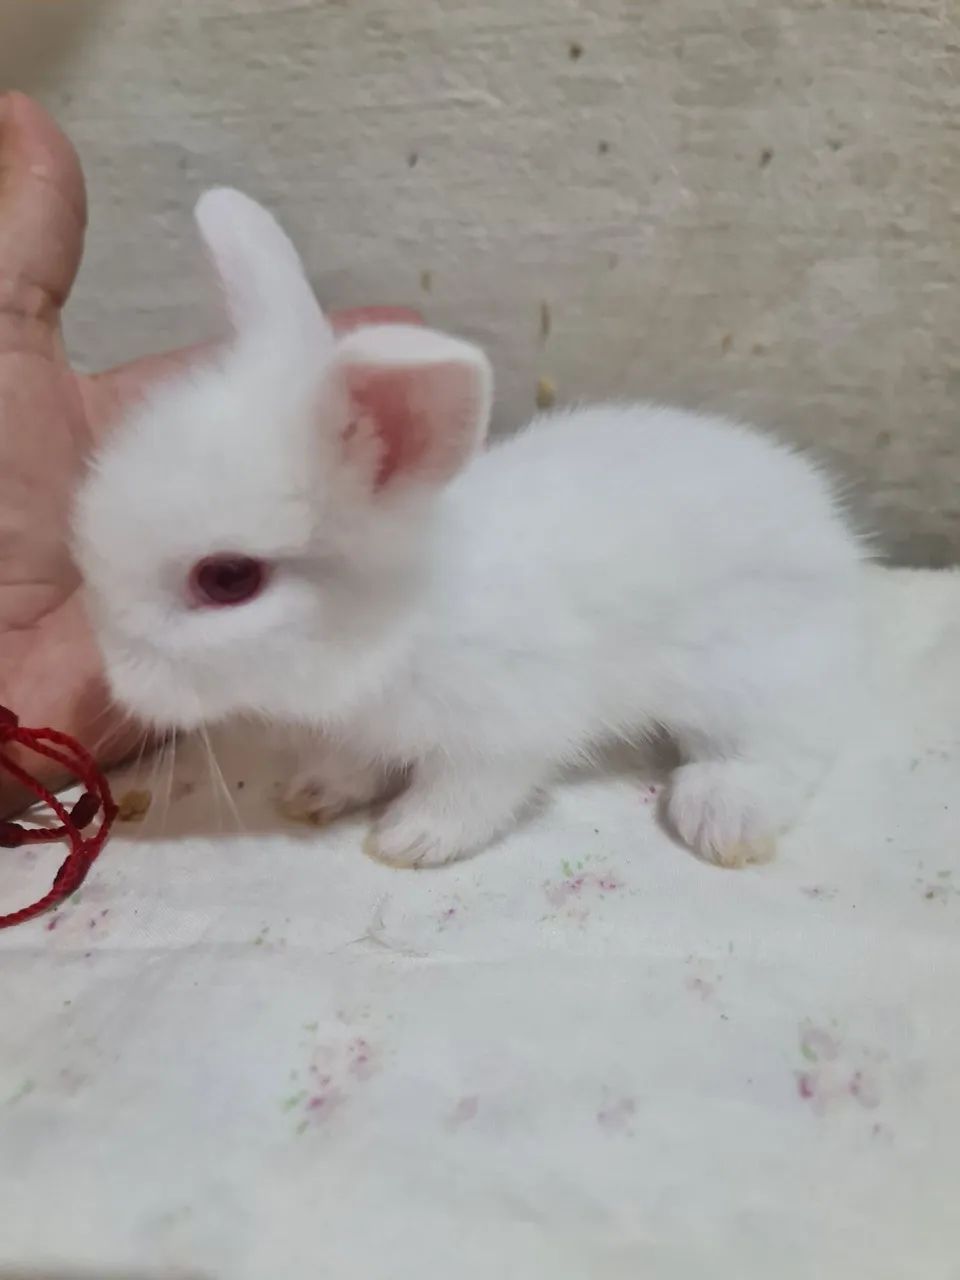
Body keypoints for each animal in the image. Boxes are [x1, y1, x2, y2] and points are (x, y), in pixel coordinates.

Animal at [73, 188, 867, 870]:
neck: (404, 623)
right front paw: (315, 792)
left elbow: (471, 794)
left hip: (751, 675)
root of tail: (831, 533)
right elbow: (356, 762)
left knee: (796, 743)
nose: (120, 684)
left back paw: (721, 813)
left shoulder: (506, 726)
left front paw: (408, 840)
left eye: (228, 578)